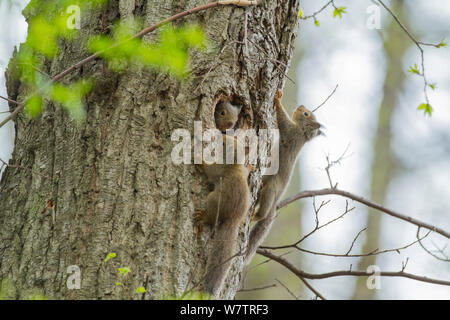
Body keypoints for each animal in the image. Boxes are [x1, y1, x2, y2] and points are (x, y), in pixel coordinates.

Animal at [197, 134, 253, 296]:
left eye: (222, 143)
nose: (218, 134)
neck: (233, 165)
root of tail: (233, 219)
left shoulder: (218, 169)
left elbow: (209, 170)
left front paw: (197, 157)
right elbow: (246, 171)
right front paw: (250, 167)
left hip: (213, 200)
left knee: (212, 219)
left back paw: (204, 217)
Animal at [244, 87, 322, 260]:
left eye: (306, 113)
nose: (300, 105)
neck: (302, 133)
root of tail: (276, 202)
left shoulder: (289, 131)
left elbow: (281, 118)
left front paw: (278, 99)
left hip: (270, 191)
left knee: (263, 212)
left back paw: (256, 216)